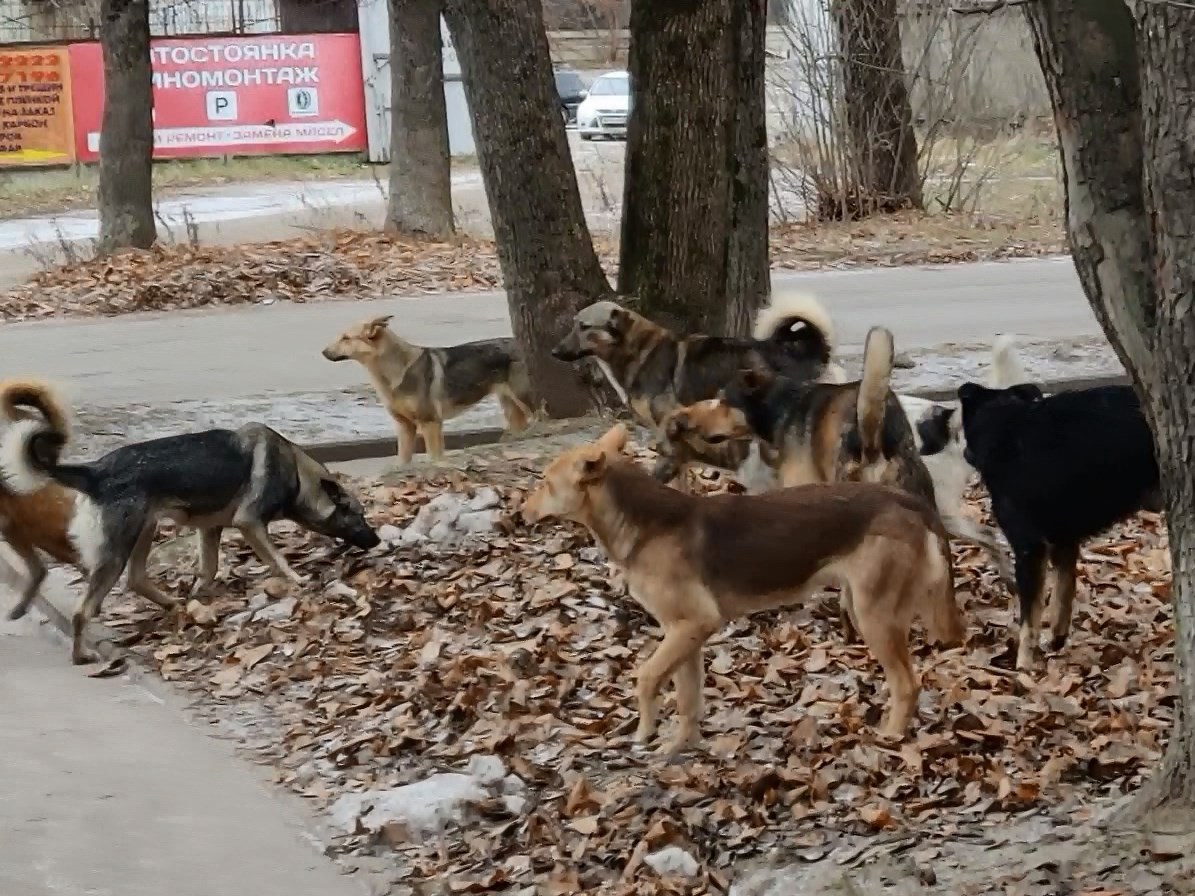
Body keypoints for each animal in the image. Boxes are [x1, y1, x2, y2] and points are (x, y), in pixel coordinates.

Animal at [322, 315, 537, 465]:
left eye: (346, 338)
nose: (323, 352)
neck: (394, 372)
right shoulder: (405, 427)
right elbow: (402, 461)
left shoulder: (430, 423)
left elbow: (435, 458)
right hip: (511, 407)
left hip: (525, 402)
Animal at [523, 425, 960, 755]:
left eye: (544, 483)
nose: (519, 512)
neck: (644, 524)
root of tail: (910, 503)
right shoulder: (686, 635)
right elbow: (688, 699)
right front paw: (680, 746)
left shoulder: (693, 624)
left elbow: (645, 678)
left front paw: (645, 731)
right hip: (862, 604)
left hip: (874, 615)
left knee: (907, 684)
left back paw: (891, 736)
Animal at [951, 379, 1156, 673]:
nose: (965, 453)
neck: (1008, 425)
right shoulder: (1064, 541)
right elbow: (1063, 594)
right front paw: (1057, 639)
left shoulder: (1029, 549)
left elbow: (1030, 618)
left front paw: (1022, 666)